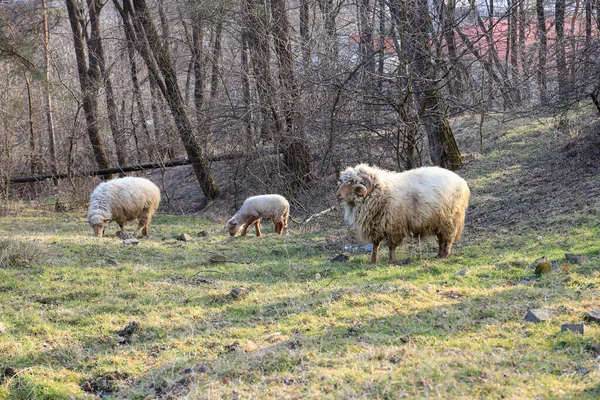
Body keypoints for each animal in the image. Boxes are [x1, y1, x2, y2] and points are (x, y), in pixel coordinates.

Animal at [338, 162, 468, 262]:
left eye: (352, 182)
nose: (337, 195)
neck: (380, 192)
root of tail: (462, 182)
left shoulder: (394, 227)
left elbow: (391, 246)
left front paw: (392, 260)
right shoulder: (375, 226)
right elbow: (375, 245)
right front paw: (373, 261)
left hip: (450, 220)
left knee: (447, 239)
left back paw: (443, 255)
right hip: (439, 220)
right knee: (441, 239)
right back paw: (439, 255)